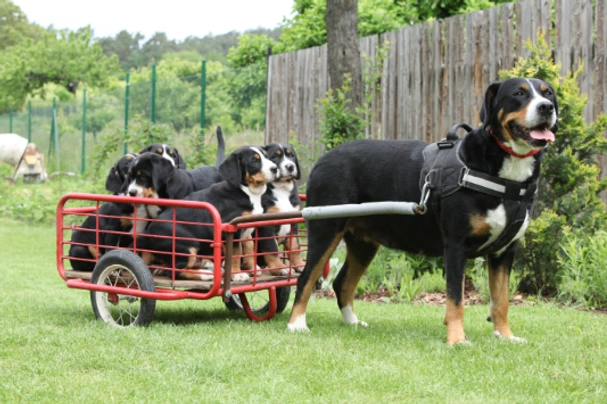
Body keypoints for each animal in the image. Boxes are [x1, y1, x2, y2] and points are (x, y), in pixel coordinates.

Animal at [137, 147, 280, 282]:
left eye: (266, 156)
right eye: (254, 161)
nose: (275, 168)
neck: (247, 191)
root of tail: (148, 234)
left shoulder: (245, 230)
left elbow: (249, 247)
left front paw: (252, 268)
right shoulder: (230, 231)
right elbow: (235, 253)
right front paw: (237, 274)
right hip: (187, 246)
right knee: (174, 271)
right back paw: (204, 274)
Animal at [290, 76, 560, 344]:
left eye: (548, 93)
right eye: (518, 93)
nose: (546, 107)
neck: (506, 178)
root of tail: (324, 159)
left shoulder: (504, 252)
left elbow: (501, 300)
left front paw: (505, 336)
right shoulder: (456, 246)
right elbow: (456, 299)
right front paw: (457, 340)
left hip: (363, 244)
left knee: (342, 283)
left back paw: (352, 323)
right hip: (326, 230)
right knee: (305, 278)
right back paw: (297, 324)